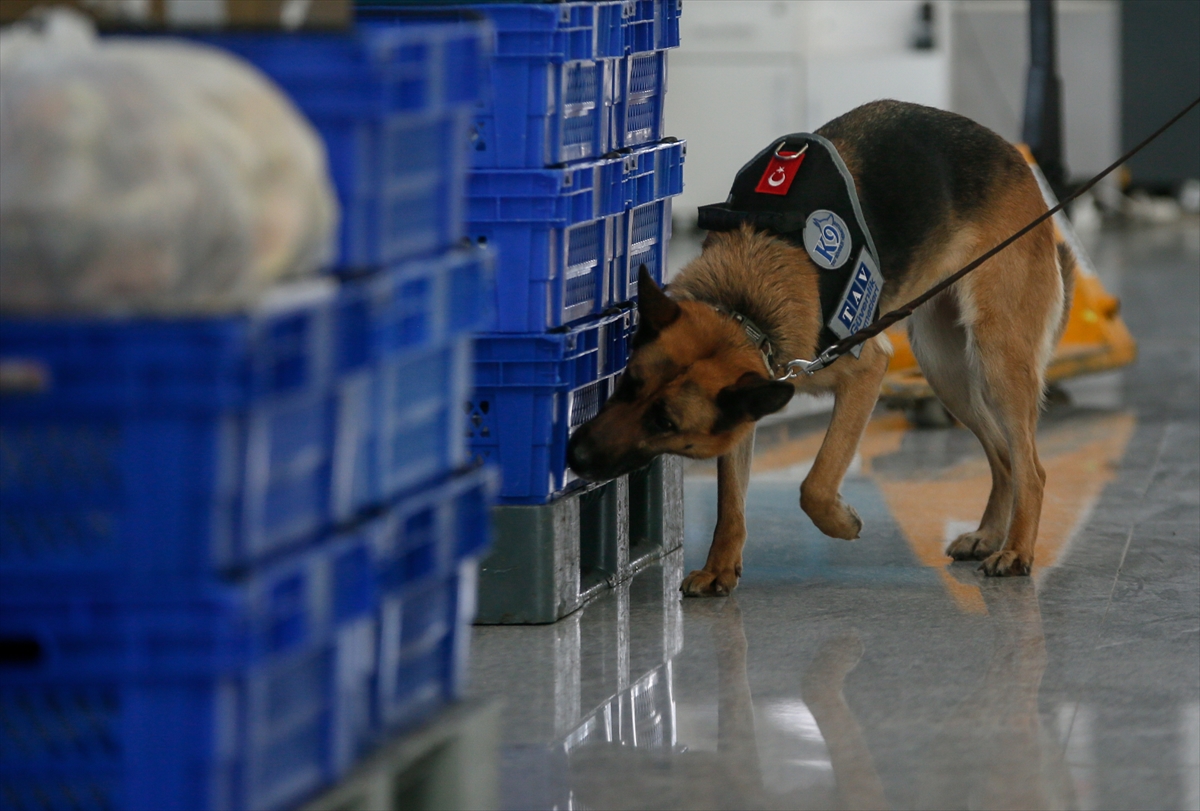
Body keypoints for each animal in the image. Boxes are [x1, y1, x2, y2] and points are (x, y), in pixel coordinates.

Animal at [566, 101, 1075, 595]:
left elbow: (815, 482)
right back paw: (990, 535)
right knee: (1004, 459)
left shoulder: (865, 371)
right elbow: (731, 501)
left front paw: (841, 523)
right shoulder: (748, 400)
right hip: (946, 372)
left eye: (665, 423)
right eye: (628, 386)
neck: (745, 306)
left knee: (1032, 469)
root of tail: (1012, 152)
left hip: (995, 362)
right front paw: (720, 567)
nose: (575, 456)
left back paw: (1017, 549)